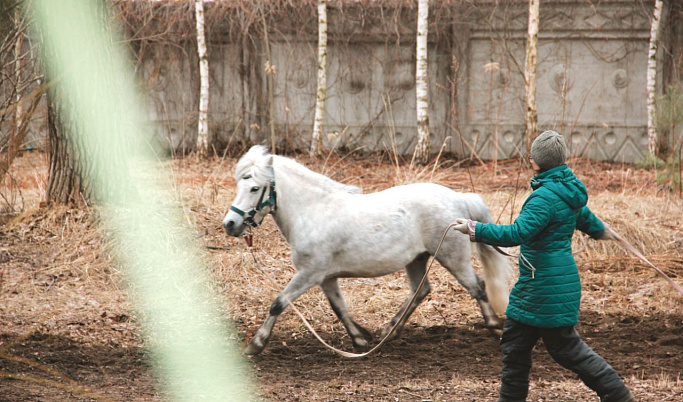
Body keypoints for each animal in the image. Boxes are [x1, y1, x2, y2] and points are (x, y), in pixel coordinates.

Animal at [222, 145, 510, 354]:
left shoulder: (309, 274)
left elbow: (278, 303)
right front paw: (360, 340)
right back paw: (389, 331)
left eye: (255, 188)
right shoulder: (326, 278)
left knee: (477, 286)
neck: (314, 211)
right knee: (421, 291)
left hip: (452, 256)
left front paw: (256, 344)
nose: (230, 224)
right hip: (417, 259)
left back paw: (495, 327)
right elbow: (340, 308)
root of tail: (459, 198)